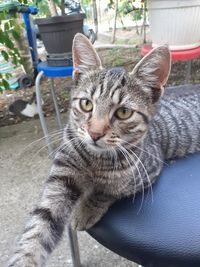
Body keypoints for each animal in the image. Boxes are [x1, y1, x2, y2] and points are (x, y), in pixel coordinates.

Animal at [8, 34, 200, 267]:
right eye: (86, 104)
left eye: (124, 112)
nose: (95, 133)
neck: (94, 159)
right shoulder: (61, 176)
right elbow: (38, 227)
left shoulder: (148, 171)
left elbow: (106, 191)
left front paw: (85, 210)